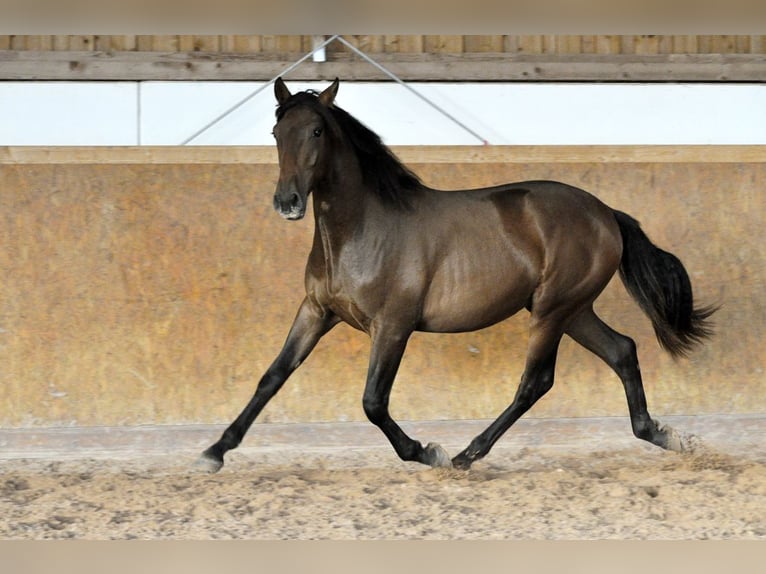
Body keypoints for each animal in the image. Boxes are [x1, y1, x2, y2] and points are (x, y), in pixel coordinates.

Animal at [195, 79, 716, 474]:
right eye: (276, 131)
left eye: (318, 130)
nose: (287, 202)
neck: (360, 230)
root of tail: (606, 213)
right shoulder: (317, 312)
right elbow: (273, 376)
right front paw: (215, 451)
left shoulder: (393, 326)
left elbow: (373, 401)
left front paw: (427, 451)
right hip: (573, 310)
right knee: (622, 351)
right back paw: (664, 436)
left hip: (553, 310)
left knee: (536, 381)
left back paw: (467, 454)